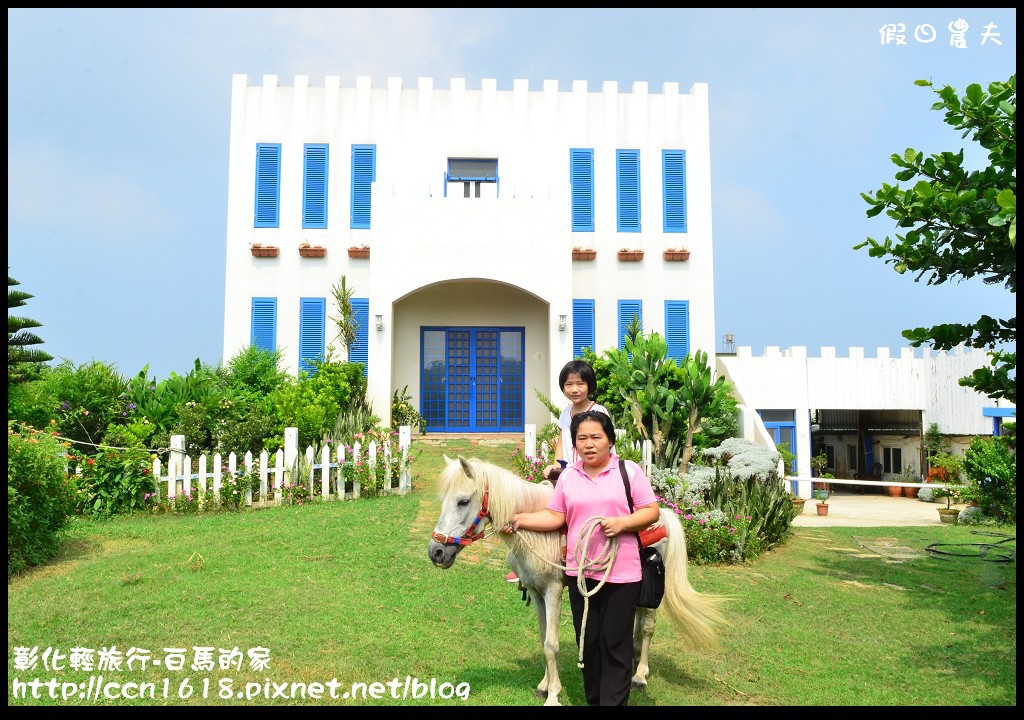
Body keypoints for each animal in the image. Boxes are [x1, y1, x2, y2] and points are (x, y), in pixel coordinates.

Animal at [423, 458, 729, 708]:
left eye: (463, 501)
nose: (436, 552)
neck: (537, 532)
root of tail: (662, 513)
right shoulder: (536, 592)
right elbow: (543, 637)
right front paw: (544, 685)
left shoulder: (553, 591)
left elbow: (551, 644)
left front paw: (553, 696)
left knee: (648, 627)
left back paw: (640, 675)